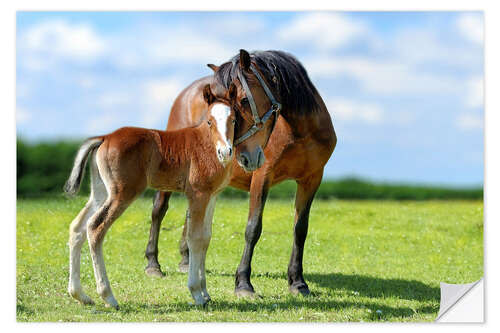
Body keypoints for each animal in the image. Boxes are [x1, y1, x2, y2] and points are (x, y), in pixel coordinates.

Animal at [64, 83, 238, 306]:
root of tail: (105, 137)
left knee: (77, 227)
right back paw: (108, 296)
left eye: (233, 119)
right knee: (95, 227)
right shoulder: (197, 194)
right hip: (123, 193)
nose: (225, 152)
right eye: (209, 121)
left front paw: (206, 293)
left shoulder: (212, 196)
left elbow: (206, 238)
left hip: (101, 193)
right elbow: (195, 238)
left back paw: (80, 294)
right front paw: (197, 293)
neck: (206, 142)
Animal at [146, 49, 338, 296]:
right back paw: (153, 265)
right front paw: (244, 283)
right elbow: (253, 228)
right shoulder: (262, 176)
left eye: (244, 100)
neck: (300, 132)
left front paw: (297, 282)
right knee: (159, 209)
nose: (238, 155)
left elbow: (300, 229)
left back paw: (187, 261)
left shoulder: (312, 179)